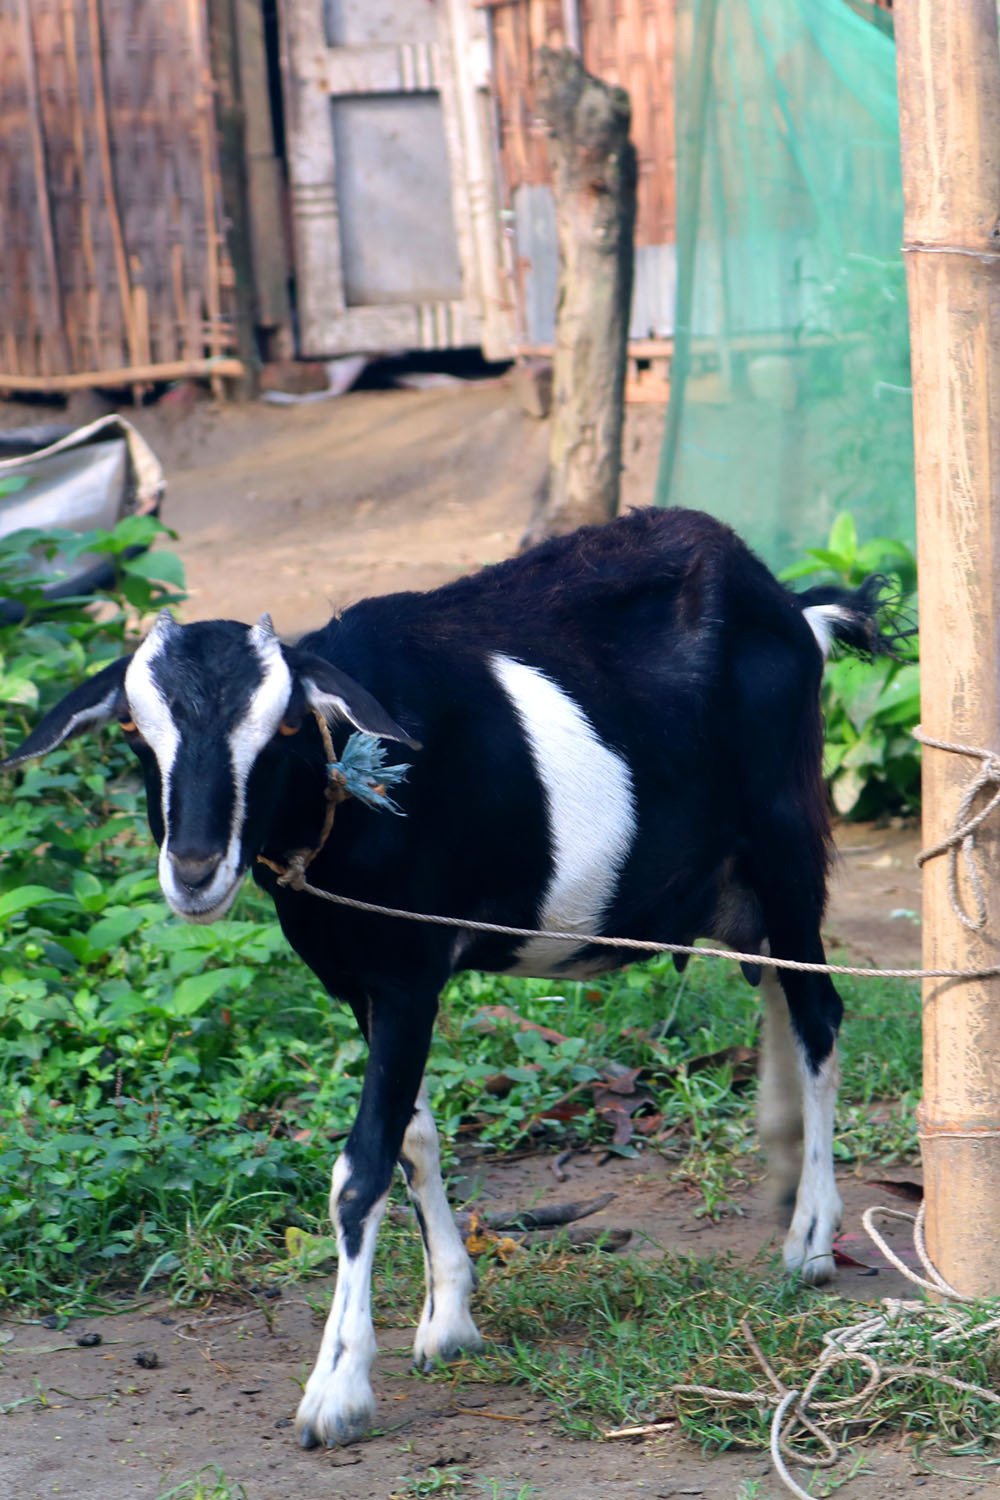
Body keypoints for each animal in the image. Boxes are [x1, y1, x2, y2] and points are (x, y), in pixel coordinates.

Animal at [1, 510, 893, 1446]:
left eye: (285, 730)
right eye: (136, 732)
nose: (196, 871)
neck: (358, 793)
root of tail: (792, 606)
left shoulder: (407, 975)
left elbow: (360, 1167)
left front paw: (337, 1390)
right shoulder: (359, 980)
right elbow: (414, 1138)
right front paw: (449, 1319)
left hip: (785, 835)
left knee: (820, 1013)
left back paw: (810, 1238)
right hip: (741, 874)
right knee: (775, 984)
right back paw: (783, 1165)